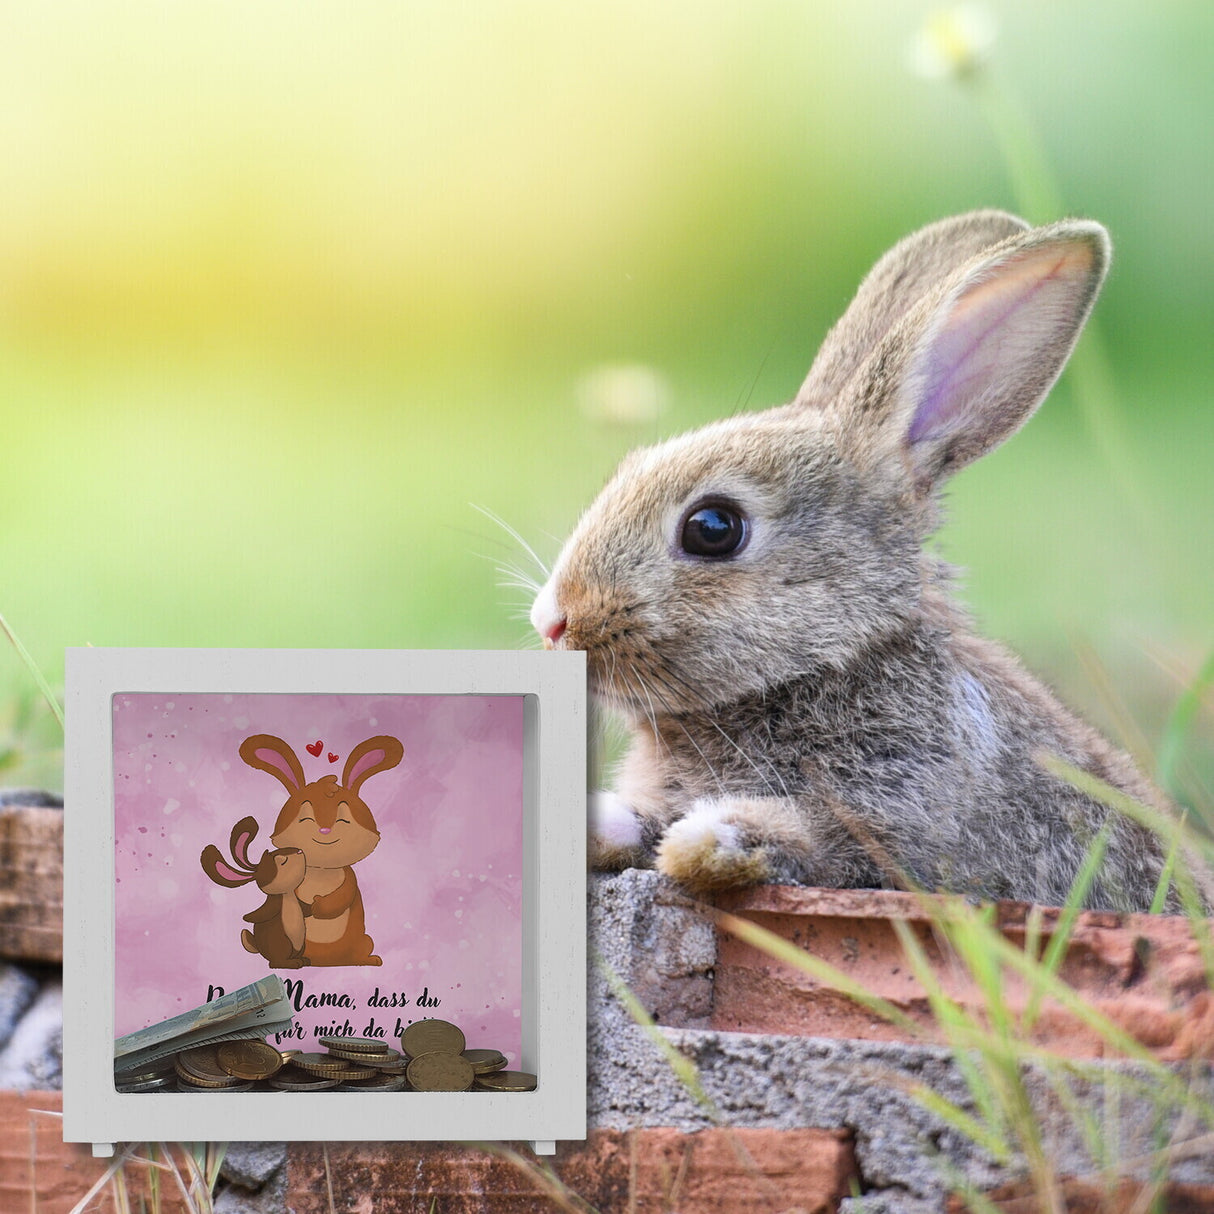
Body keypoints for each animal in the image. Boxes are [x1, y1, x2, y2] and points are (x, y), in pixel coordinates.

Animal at [200, 816, 311, 968]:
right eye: (283, 862)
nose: (300, 850)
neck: (287, 895)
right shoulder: (273, 905)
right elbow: (262, 912)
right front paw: (248, 917)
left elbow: (305, 908)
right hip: (282, 942)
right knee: (276, 962)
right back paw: (293, 963)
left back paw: (303, 960)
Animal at [239, 733, 404, 966]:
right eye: (306, 818)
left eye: (343, 819)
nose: (325, 830)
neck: (322, 870)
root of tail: (329, 961)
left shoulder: (349, 877)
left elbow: (343, 894)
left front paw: (318, 906)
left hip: (361, 941)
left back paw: (368, 959)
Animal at [530, 209, 1183, 913]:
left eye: (713, 528)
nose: (553, 622)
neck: (827, 663)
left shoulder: (896, 826)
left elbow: (806, 842)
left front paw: (709, 840)